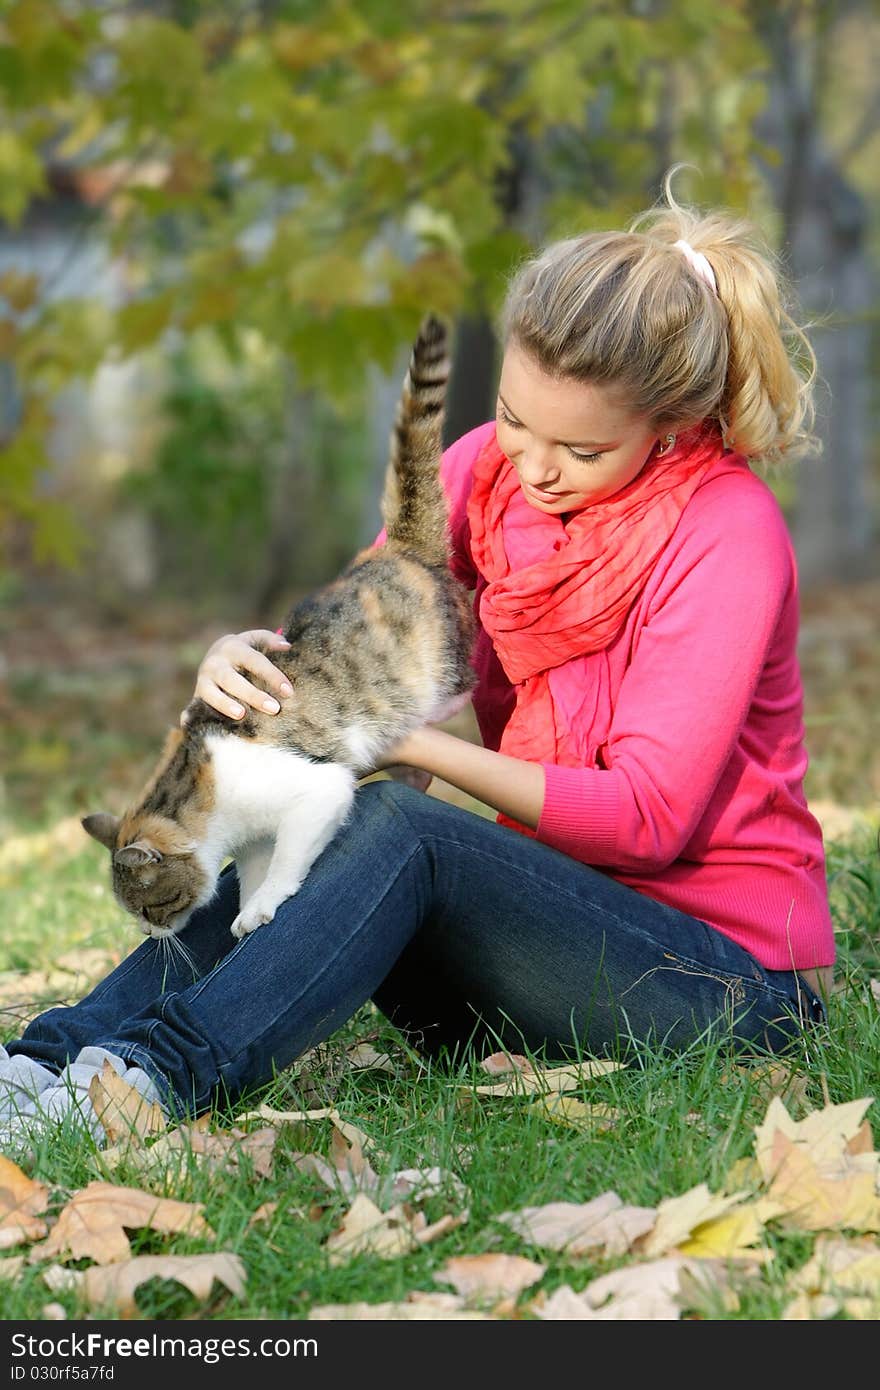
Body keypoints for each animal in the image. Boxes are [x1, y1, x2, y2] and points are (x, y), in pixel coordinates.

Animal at [84, 318, 472, 939]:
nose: (148, 934)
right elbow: (253, 868)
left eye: (147, 908)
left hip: (447, 667)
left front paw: (264, 908)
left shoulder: (318, 790)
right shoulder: (252, 839)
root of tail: (400, 550)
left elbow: (287, 860)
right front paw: (247, 908)